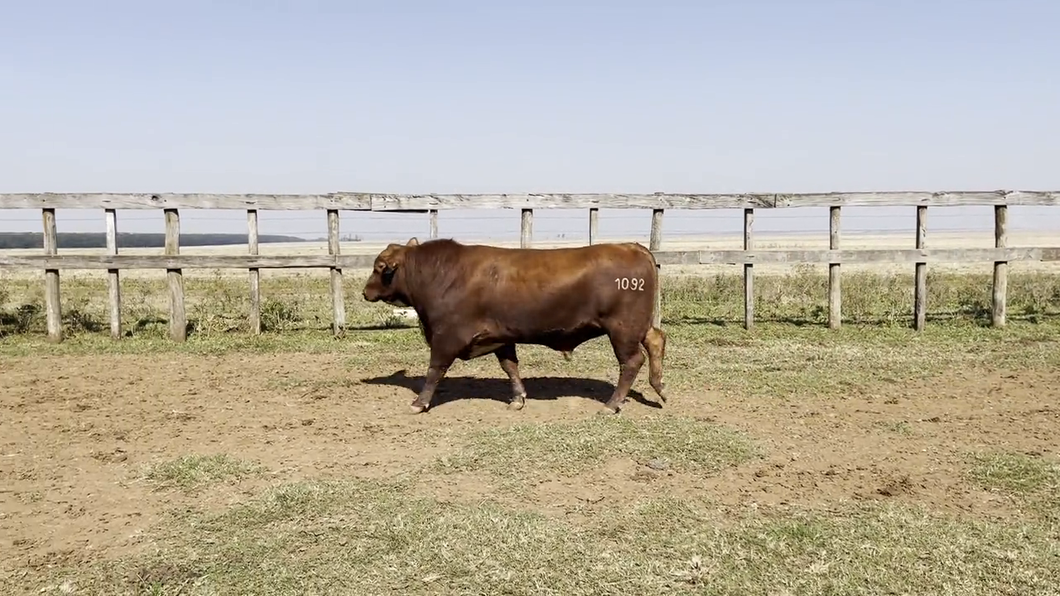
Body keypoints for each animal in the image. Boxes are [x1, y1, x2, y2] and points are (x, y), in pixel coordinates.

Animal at [360, 236, 665, 413]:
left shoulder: (446, 337)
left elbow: (435, 370)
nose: (365, 292)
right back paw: (659, 386)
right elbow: (510, 366)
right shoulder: (501, 336)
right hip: (638, 326)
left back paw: (612, 405)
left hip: (623, 330)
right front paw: (518, 398)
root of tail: (632, 246)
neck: (441, 274)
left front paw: (419, 403)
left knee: (632, 361)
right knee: (656, 340)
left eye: (378, 267)